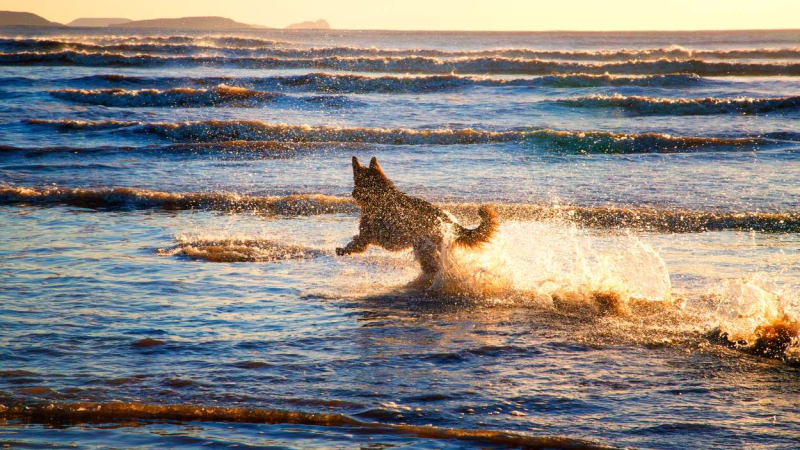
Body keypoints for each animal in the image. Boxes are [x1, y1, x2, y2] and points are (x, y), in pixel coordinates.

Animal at [334, 156, 496, 280]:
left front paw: (342, 250)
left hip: (424, 247)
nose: (353, 194)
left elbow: (353, 244)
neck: (379, 196)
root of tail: (449, 220)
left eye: (356, 181)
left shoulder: (365, 237)